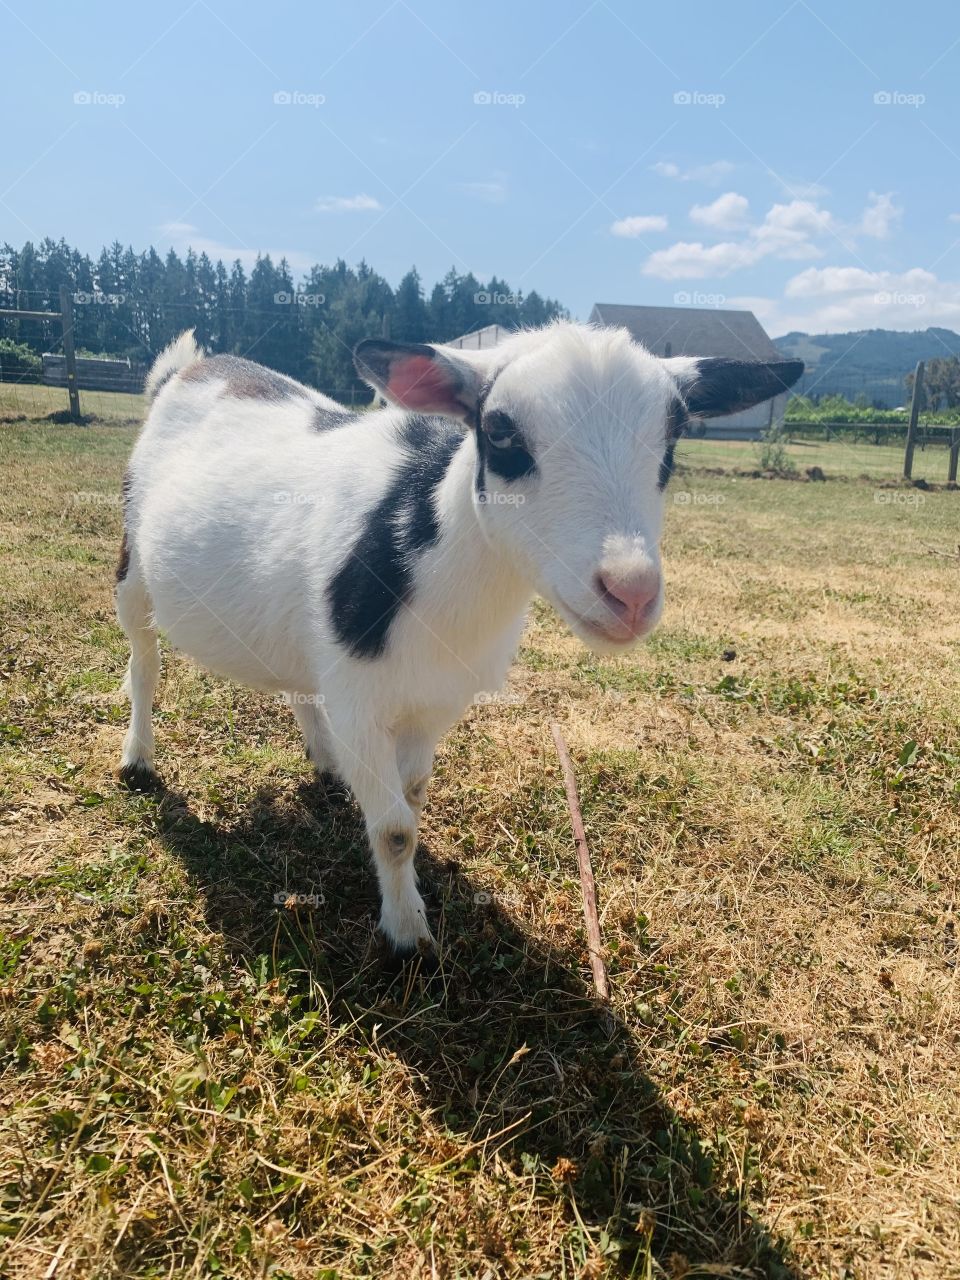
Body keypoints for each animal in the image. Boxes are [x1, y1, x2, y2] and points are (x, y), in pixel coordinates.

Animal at [116, 323, 802, 952]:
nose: (630, 593)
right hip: (131, 564)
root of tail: (192, 367)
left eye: (673, 433)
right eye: (500, 432)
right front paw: (407, 936)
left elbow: (412, 802)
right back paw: (138, 762)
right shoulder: (360, 698)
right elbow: (395, 829)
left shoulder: (433, 703)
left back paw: (328, 765)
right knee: (144, 664)